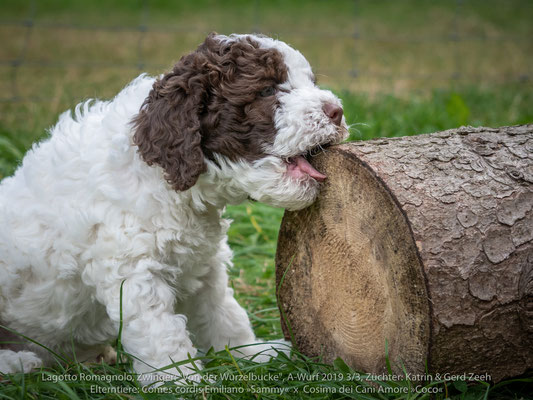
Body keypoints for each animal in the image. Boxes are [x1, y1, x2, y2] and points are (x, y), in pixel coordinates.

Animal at [0, 32, 348, 382]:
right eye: (266, 90)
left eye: (311, 82)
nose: (337, 110)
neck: (172, 185)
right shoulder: (134, 270)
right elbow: (161, 332)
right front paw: (183, 381)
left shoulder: (203, 263)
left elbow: (223, 313)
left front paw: (252, 354)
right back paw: (19, 363)